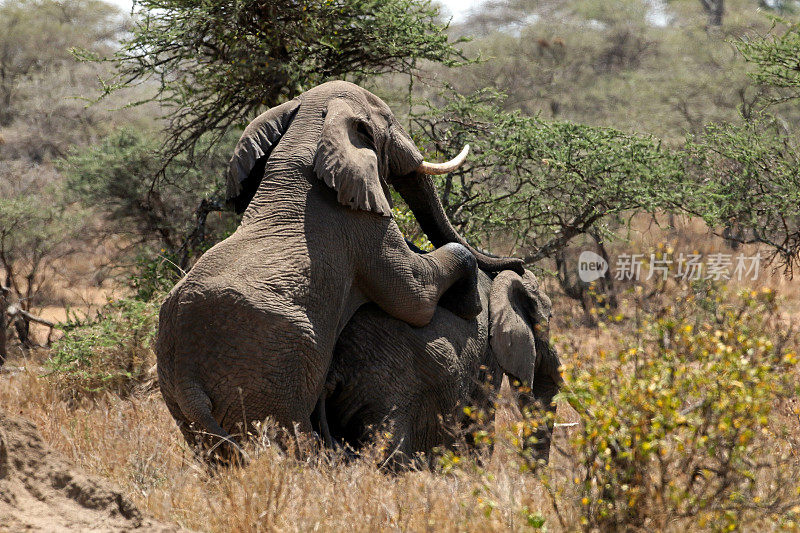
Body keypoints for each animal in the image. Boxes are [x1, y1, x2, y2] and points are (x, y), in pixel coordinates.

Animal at [155, 81, 524, 456]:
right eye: (389, 120)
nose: (519, 264)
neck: (306, 131)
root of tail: (186, 375)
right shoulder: (364, 228)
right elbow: (415, 299)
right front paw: (470, 306)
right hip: (267, 369)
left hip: (186, 396)